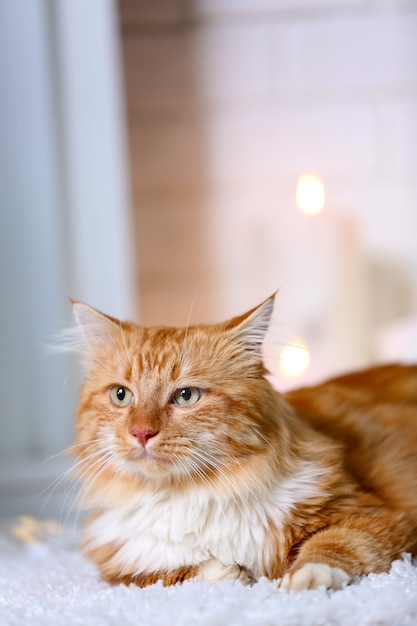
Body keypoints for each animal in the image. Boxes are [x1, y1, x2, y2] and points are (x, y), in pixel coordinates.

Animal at [70, 294, 416, 588]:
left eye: (186, 396)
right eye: (121, 395)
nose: (141, 432)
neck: (189, 495)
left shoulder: (369, 514)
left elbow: (330, 547)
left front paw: (304, 580)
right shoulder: (125, 568)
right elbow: (182, 571)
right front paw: (230, 573)